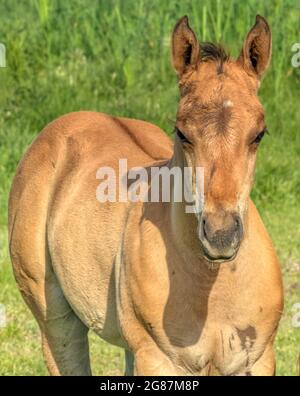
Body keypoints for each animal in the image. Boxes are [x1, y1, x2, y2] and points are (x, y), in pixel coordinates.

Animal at [8, 15, 282, 374]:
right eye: (182, 132)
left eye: (259, 134)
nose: (221, 236)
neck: (213, 290)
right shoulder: (156, 359)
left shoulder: (257, 359)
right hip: (54, 318)